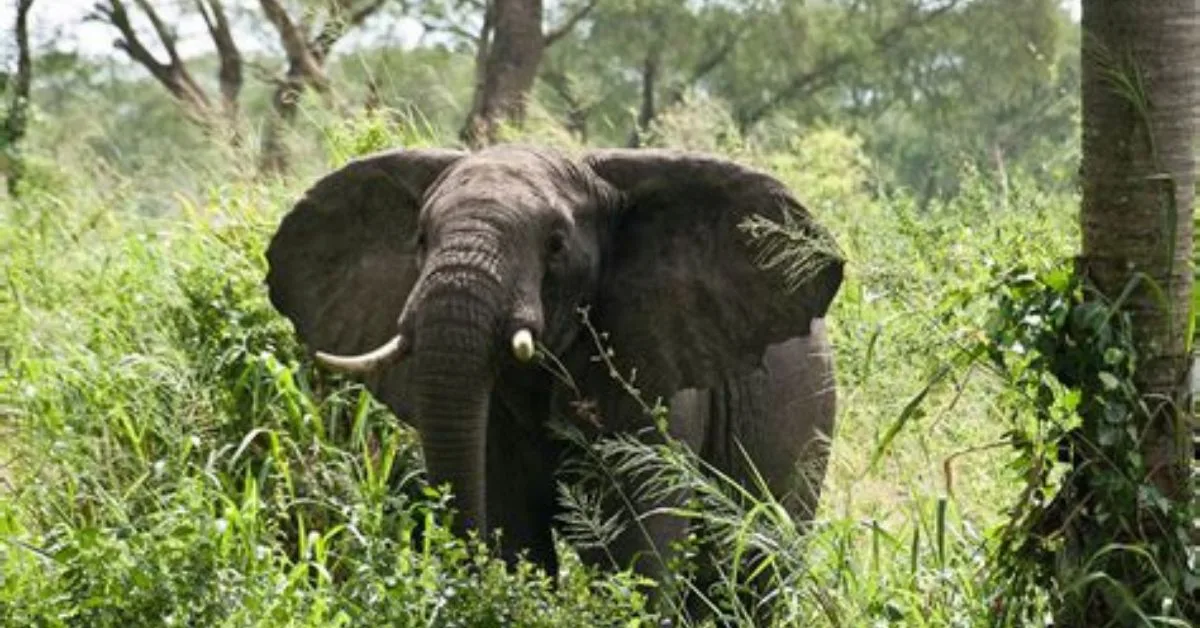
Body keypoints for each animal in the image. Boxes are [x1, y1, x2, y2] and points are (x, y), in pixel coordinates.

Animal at [263, 143, 844, 598]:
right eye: (421, 239)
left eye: (557, 244)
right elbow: (513, 530)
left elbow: (641, 548)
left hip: (807, 416)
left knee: (753, 567)